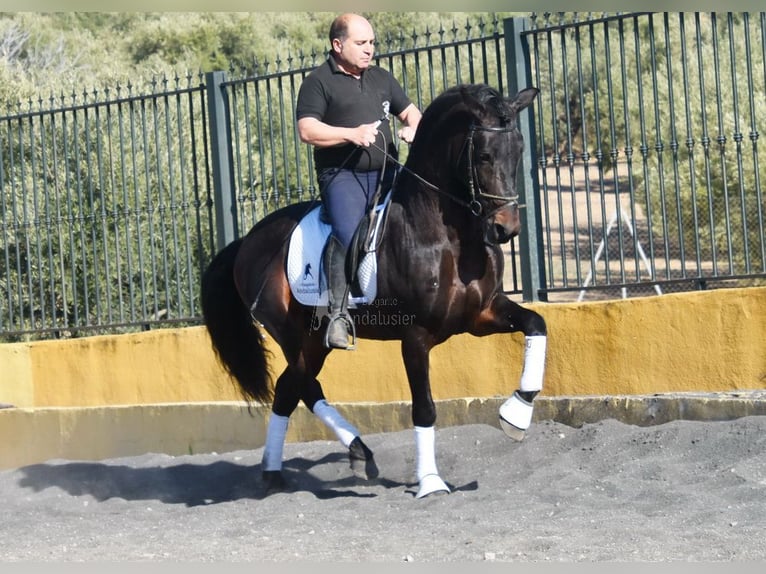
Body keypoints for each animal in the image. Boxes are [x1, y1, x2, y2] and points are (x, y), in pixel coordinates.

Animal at [201, 84, 548, 500]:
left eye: (519, 150)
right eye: (482, 154)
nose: (505, 229)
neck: (446, 235)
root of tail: (247, 242)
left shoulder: (482, 315)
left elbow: (536, 324)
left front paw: (518, 414)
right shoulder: (415, 335)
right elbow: (424, 407)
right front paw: (430, 482)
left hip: (311, 340)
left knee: (288, 391)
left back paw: (279, 473)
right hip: (294, 334)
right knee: (301, 386)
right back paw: (355, 453)